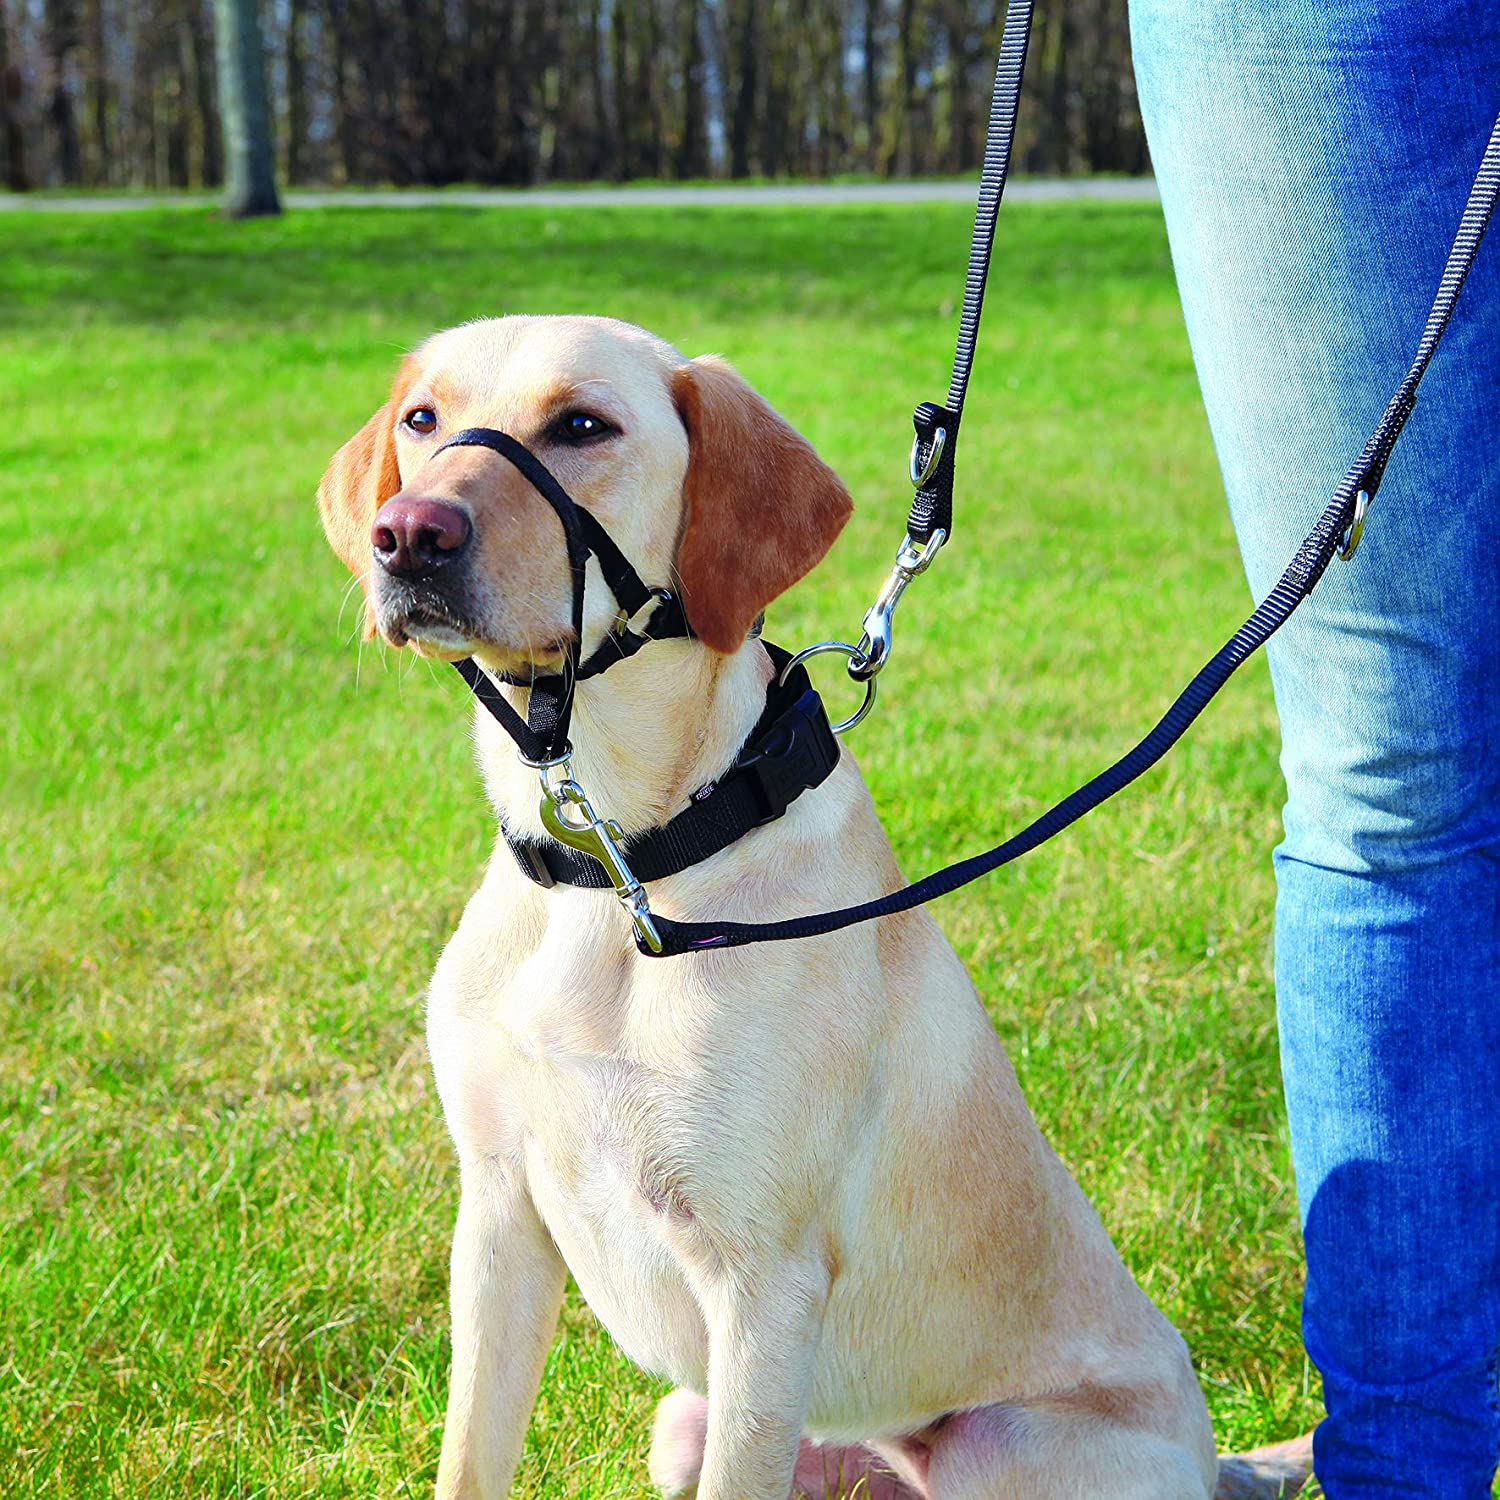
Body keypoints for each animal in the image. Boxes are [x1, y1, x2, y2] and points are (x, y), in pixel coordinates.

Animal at [319, 316, 1314, 1500]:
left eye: (583, 426)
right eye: (421, 420)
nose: (407, 537)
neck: (621, 866)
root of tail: (1219, 1466)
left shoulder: (762, 1284)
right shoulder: (499, 1218)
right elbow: (471, 1459)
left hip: (996, 1450)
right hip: (684, 1423)